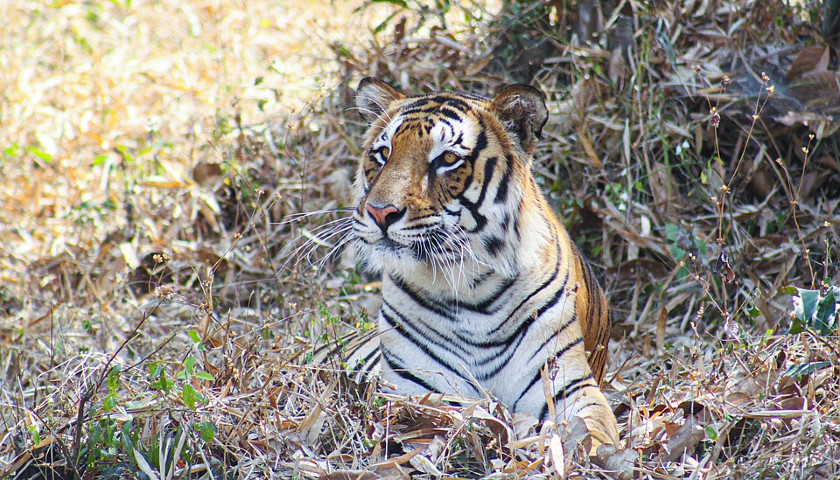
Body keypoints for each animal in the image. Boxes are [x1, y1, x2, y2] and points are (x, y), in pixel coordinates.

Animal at [334, 78, 616, 454]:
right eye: (383, 153)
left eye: (447, 159)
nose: (380, 213)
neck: (471, 289)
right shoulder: (416, 390)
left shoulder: (567, 385)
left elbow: (592, 433)